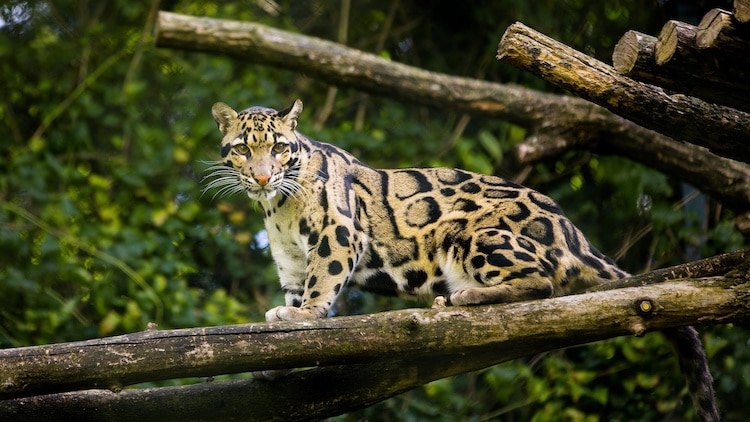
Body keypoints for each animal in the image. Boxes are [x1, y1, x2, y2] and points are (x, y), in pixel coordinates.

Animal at [209, 99, 720, 422]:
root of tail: (575, 233)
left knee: (542, 283)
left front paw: (306, 316)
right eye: (243, 148)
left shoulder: (338, 233)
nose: (262, 176)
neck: (277, 206)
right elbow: (292, 315)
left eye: (279, 147)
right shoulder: (290, 260)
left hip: (476, 234)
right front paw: (279, 350)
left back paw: (465, 297)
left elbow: (321, 286)